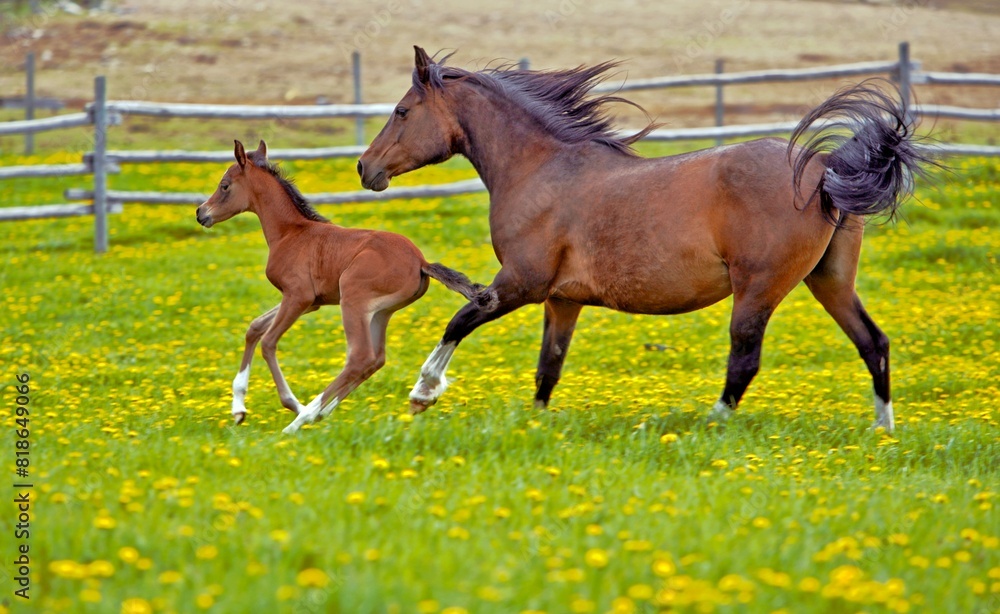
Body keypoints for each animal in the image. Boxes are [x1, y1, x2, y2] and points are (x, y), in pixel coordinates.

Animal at [197, 140, 486, 434]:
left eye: (224, 185)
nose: (200, 213)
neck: (291, 232)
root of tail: (421, 261)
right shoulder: (310, 303)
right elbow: (254, 328)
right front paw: (238, 409)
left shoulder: (298, 297)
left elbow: (268, 342)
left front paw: (293, 404)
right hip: (381, 312)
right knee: (375, 359)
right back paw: (321, 412)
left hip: (353, 299)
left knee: (360, 357)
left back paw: (303, 418)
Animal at [357, 47, 931, 433]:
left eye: (402, 111)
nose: (366, 168)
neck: (541, 171)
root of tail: (824, 167)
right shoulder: (562, 300)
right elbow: (548, 369)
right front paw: (535, 424)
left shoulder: (522, 282)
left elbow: (460, 320)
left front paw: (422, 393)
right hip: (829, 280)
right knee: (873, 342)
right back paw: (883, 431)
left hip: (759, 288)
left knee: (745, 357)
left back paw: (710, 425)